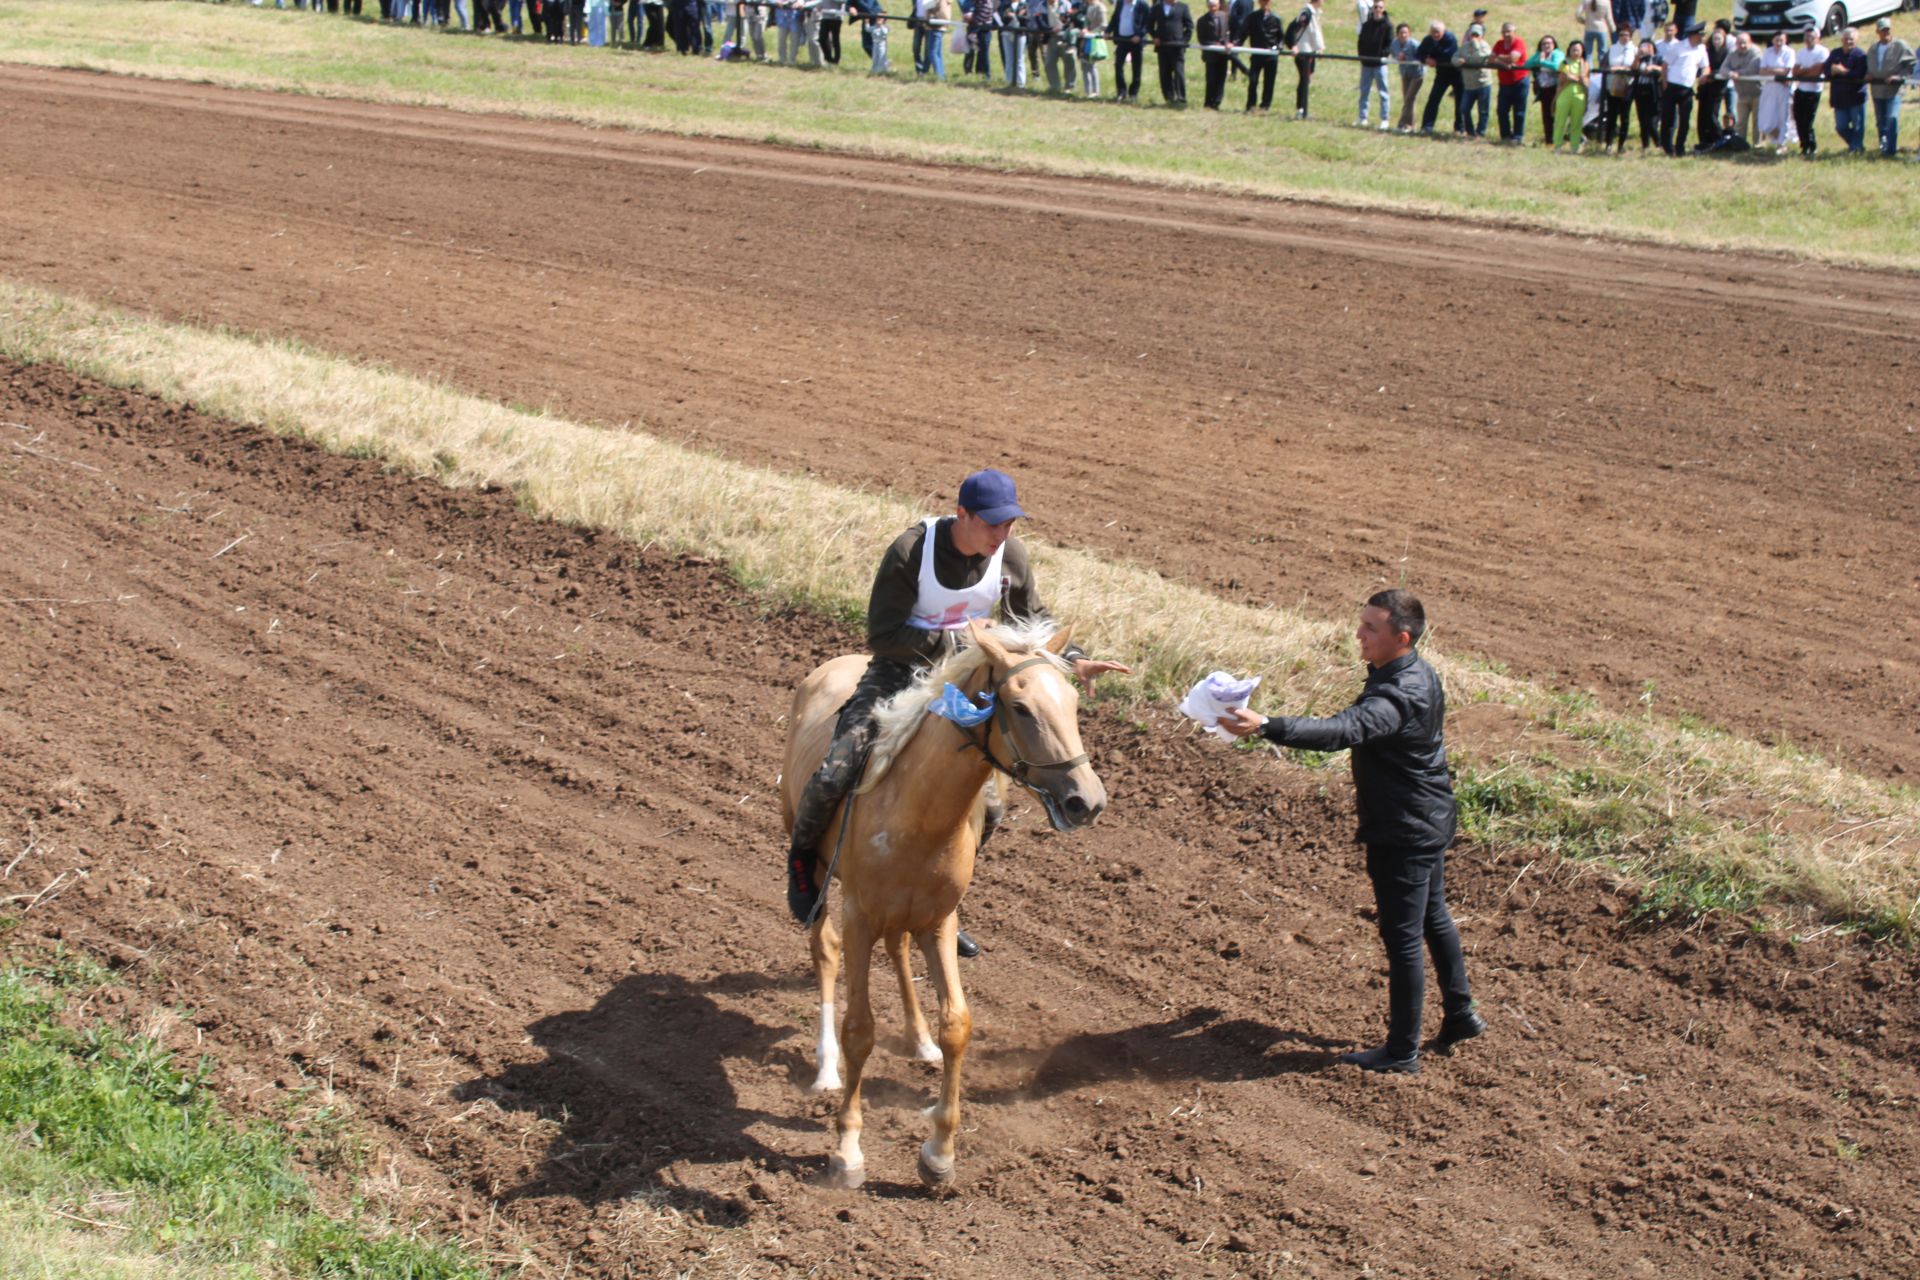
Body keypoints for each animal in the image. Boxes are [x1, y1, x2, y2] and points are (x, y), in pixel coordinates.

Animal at [779, 621, 1113, 1189]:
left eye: (1072, 702)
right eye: (1020, 707)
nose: (1085, 801)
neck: (917, 809)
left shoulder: (939, 919)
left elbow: (957, 1024)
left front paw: (940, 1152)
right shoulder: (859, 915)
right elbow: (859, 1029)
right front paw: (847, 1150)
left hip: (907, 913)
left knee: (898, 946)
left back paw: (919, 1041)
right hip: (818, 870)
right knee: (823, 948)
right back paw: (825, 1068)